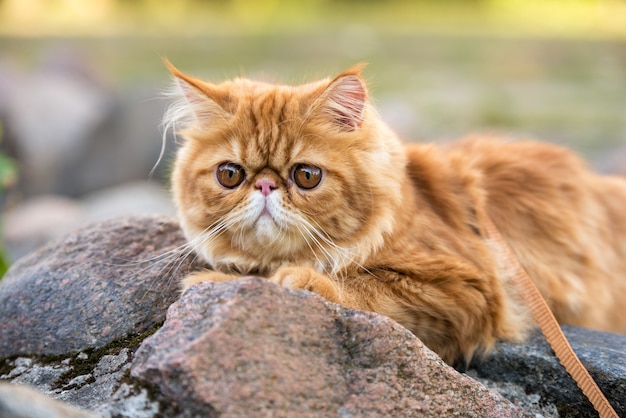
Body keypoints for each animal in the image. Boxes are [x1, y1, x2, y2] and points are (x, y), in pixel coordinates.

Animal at [165, 62, 624, 366]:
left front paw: (287, 278)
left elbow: (360, 286)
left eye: (307, 175)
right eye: (230, 175)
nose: (264, 186)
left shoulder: (464, 288)